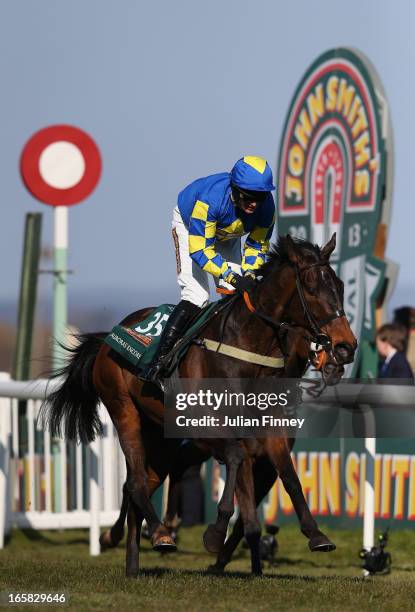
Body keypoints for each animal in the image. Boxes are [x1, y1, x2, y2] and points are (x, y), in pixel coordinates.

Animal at [42, 232, 358, 576]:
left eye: (340, 286)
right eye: (312, 287)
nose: (346, 347)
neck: (248, 348)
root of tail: (107, 338)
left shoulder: (270, 434)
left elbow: (289, 477)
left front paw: (316, 535)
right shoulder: (209, 431)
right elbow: (235, 463)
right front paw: (215, 533)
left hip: (161, 435)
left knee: (140, 484)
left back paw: (132, 561)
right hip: (123, 408)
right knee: (136, 482)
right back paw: (160, 534)